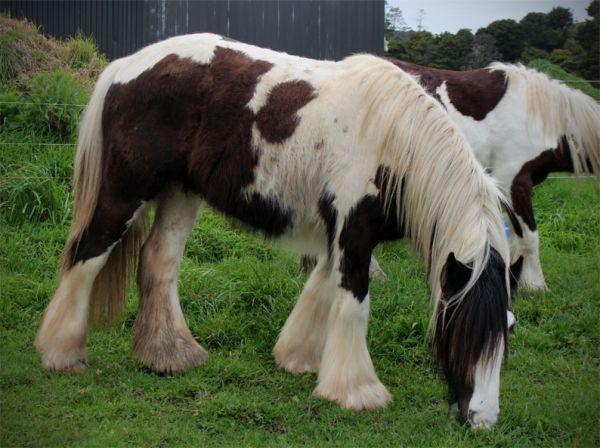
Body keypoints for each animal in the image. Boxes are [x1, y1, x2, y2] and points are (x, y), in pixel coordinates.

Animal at [36, 34, 516, 428]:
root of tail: (124, 67)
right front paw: (357, 391)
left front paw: (298, 358)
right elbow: (353, 304)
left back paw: (169, 355)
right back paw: (61, 353)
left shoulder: (339, 236)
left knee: (159, 259)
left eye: (507, 328)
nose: (482, 420)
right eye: (465, 328)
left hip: (180, 191)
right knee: (86, 254)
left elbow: (320, 291)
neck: (394, 140)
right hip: (125, 192)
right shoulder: (354, 232)